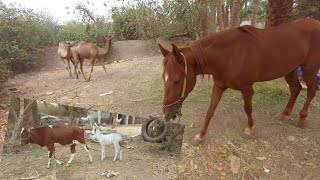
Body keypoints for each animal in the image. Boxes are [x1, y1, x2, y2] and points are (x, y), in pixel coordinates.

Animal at [159, 18, 320, 146]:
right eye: (163, 78)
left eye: (177, 81)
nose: (167, 113)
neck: (230, 55)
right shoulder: (219, 86)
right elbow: (210, 111)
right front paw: (200, 136)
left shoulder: (247, 88)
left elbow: (247, 108)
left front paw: (249, 129)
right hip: (290, 70)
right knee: (295, 88)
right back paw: (284, 113)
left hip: (309, 70)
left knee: (312, 90)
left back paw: (302, 117)